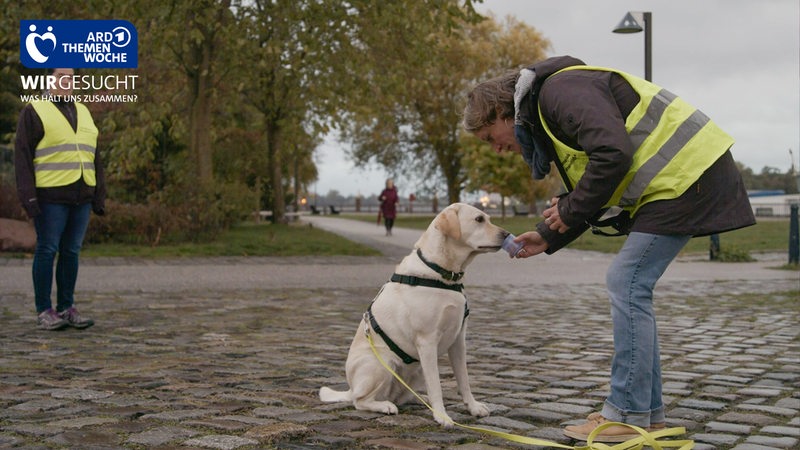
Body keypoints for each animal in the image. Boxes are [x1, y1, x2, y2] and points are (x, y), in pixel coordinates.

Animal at [318, 203, 506, 426]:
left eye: (488, 218)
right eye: (479, 219)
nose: (507, 234)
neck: (443, 273)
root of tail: (351, 387)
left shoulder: (459, 340)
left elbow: (464, 379)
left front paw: (473, 407)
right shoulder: (427, 341)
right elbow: (436, 386)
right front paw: (442, 415)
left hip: (417, 371)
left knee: (400, 396)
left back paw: (417, 399)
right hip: (382, 365)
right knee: (360, 400)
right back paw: (385, 406)